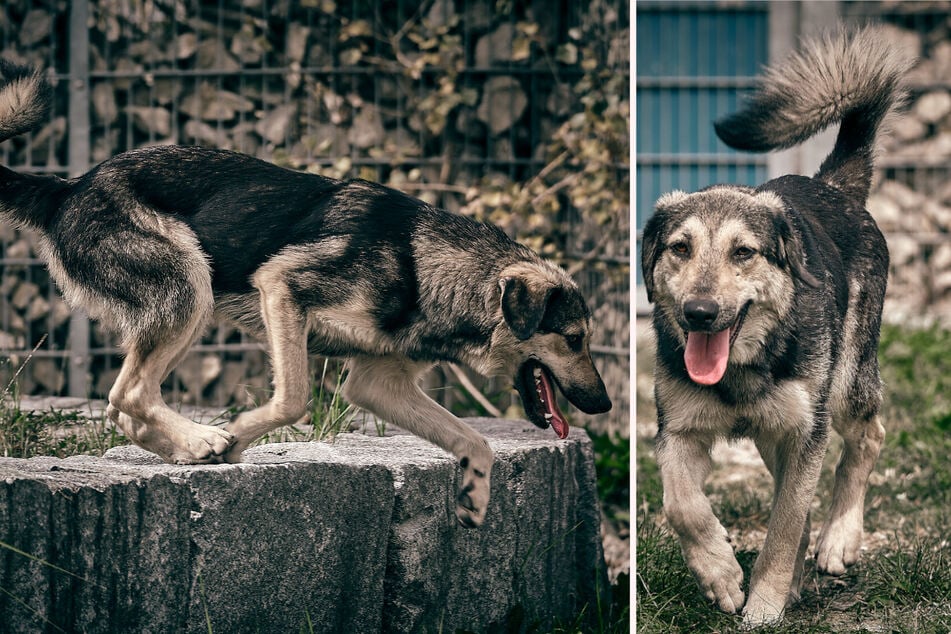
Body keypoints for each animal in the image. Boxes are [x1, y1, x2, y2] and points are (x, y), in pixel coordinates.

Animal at [644, 27, 912, 624]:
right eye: (680, 248)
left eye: (743, 252)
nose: (699, 312)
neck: (745, 365)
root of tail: (833, 186)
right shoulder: (679, 431)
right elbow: (682, 505)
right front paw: (720, 574)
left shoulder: (805, 432)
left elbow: (784, 528)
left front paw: (764, 604)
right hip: (778, 431)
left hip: (840, 389)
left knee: (868, 437)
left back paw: (837, 540)